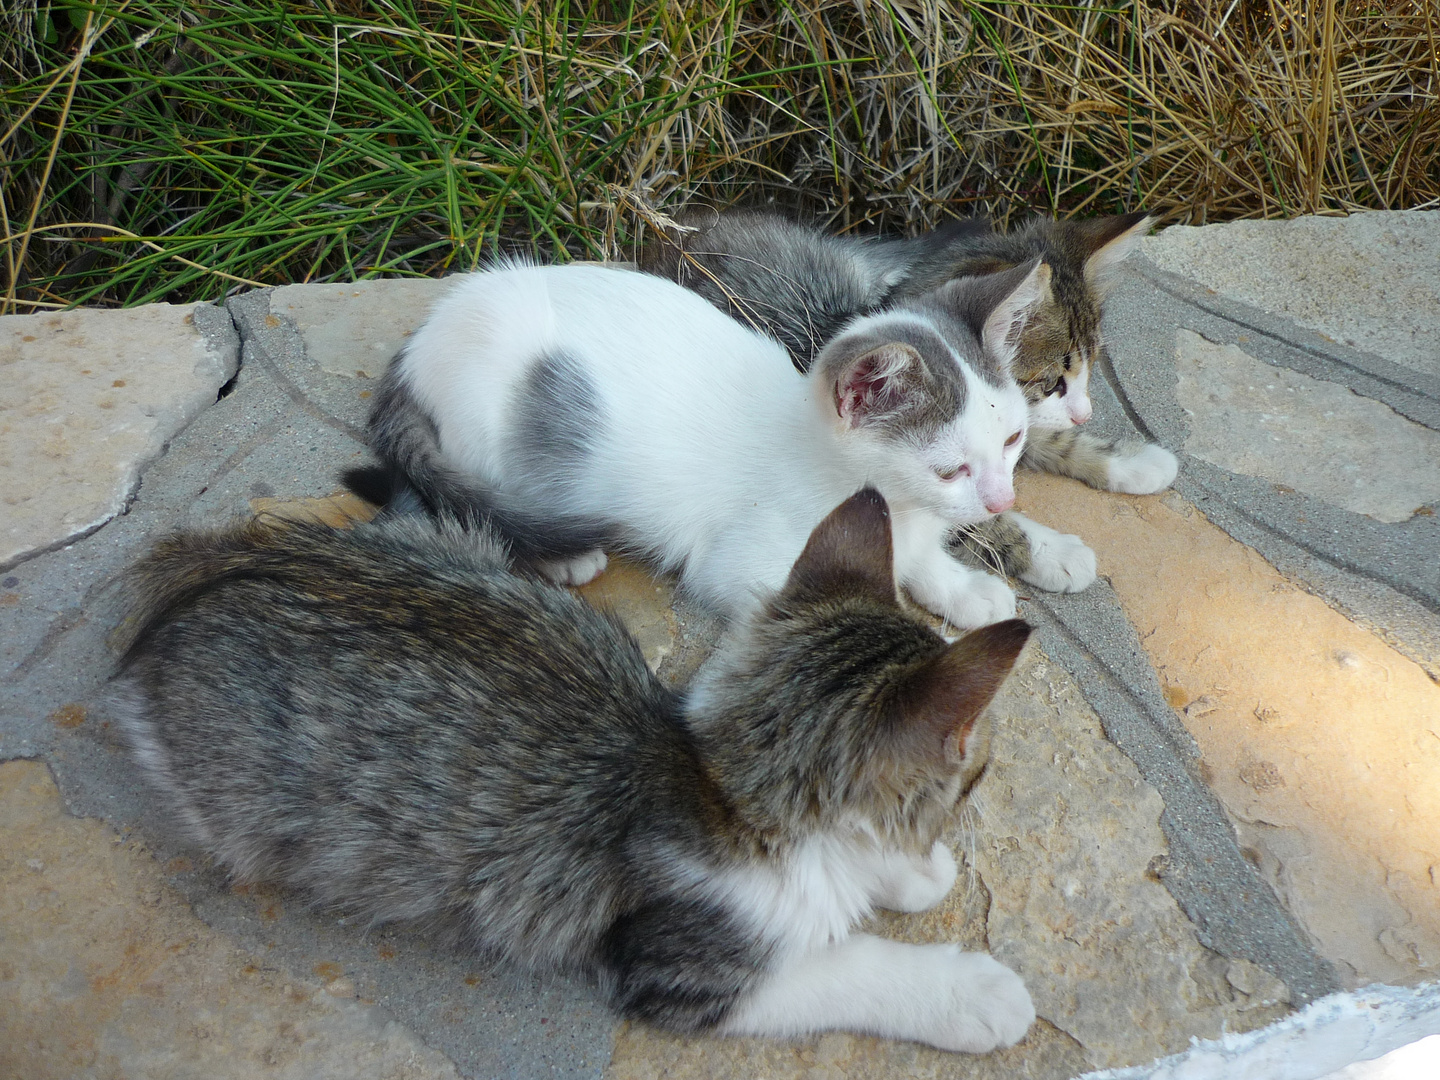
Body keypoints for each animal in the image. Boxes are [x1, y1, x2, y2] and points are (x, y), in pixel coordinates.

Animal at [109, 492, 1036, 1059]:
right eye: (981, 773)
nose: (981, 788)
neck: (728, 789)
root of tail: (223, 562)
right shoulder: (674, 972)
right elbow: (847, 965)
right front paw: (968, 992)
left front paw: (912, 874)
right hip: (235, 803)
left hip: (452, 539)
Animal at [354, 260, 1042, 624]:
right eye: (950, 469)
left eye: (1013, 438)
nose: (1002, 501)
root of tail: (423, 339)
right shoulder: (742, 569)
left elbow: (914, 558)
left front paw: (962, 588)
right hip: (482, 420)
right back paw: (564, 554)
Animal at [642, 203, 1180, 593]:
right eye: (1052, 382)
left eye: (1092, 365)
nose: (1085, 412)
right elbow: (968, 517)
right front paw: (1050, 552)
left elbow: (1037, 440)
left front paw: (1127, 460)